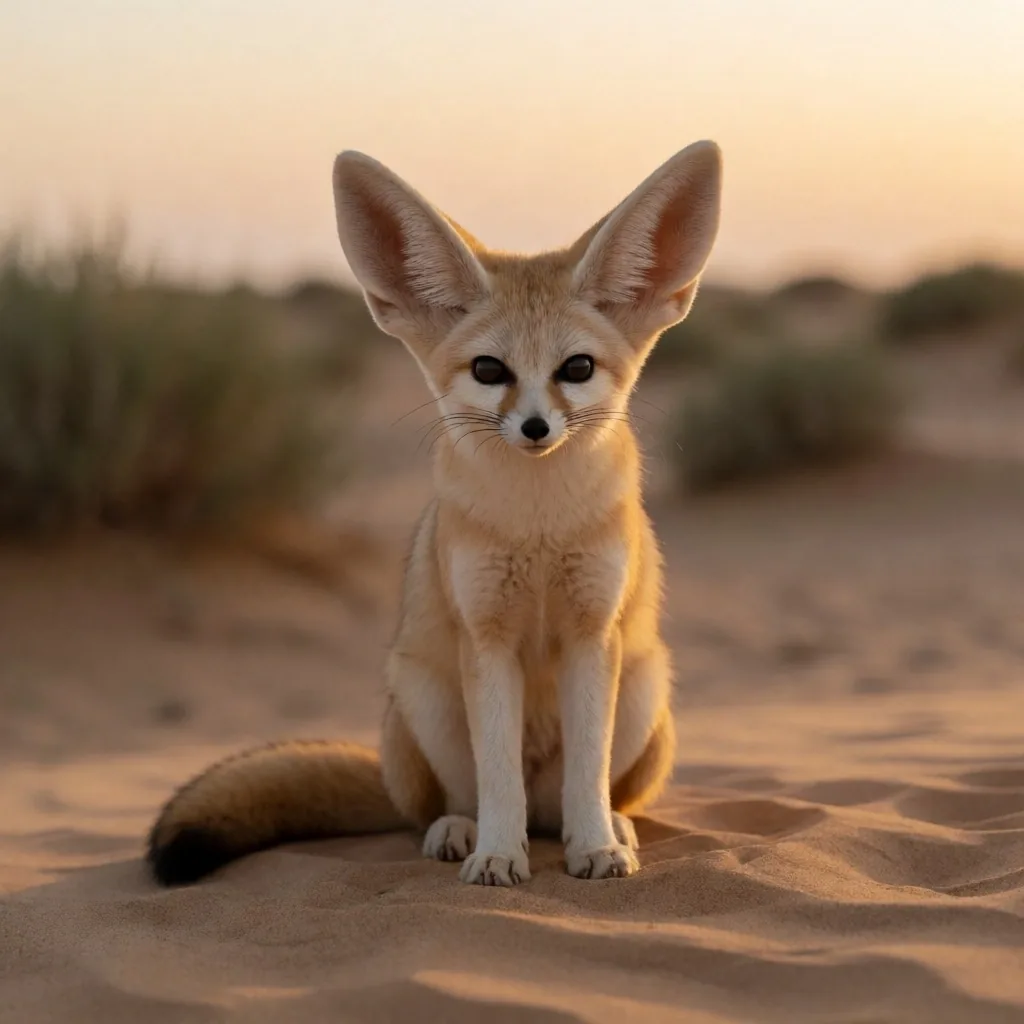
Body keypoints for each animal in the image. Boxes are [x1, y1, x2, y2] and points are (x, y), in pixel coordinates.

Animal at [147, 140, 723, 887]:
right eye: (488, 371)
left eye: (576, 369)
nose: (536, 429)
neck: (538, 528)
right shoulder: (486, 637)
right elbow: (497, 775)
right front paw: (498, 856)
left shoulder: (592, 635)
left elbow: (588, 773)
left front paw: (595, 847)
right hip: (426, 697)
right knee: (455, 800)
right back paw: (460, 832)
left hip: (646, 691)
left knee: (577, 798)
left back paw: (606, 828)